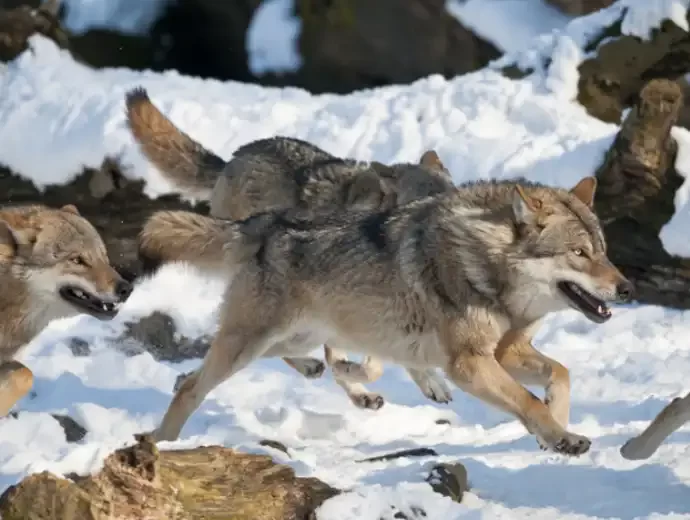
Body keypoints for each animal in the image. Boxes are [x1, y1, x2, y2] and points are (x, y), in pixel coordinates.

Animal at [145, 175, 634, 454]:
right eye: (579, 254)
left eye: (604, 252)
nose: (627, 289)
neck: (487, 265)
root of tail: (266, 223)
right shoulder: (469, 364)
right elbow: (527, 399)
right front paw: (562, 437)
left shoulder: (507, 353)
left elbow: (560, 375)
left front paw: (557, 430)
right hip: (251, 343)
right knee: (190, 386)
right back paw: (161, 443)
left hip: (294, 336)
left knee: (300, 360)